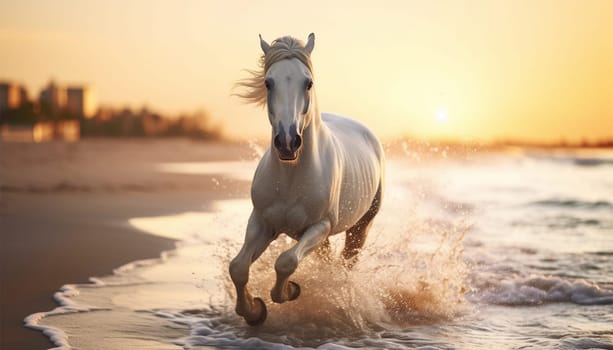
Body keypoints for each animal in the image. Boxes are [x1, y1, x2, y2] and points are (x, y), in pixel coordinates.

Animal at [228, 32, 382, 326]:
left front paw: (290, 291)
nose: (288, 142)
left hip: (359, 227)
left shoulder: (320, 226)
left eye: (308, 83)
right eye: (268, 82)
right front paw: (254, 311)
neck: (291, 176)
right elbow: (238, 267)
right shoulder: (263, 222)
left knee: (346, 263)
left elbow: (286, 262)